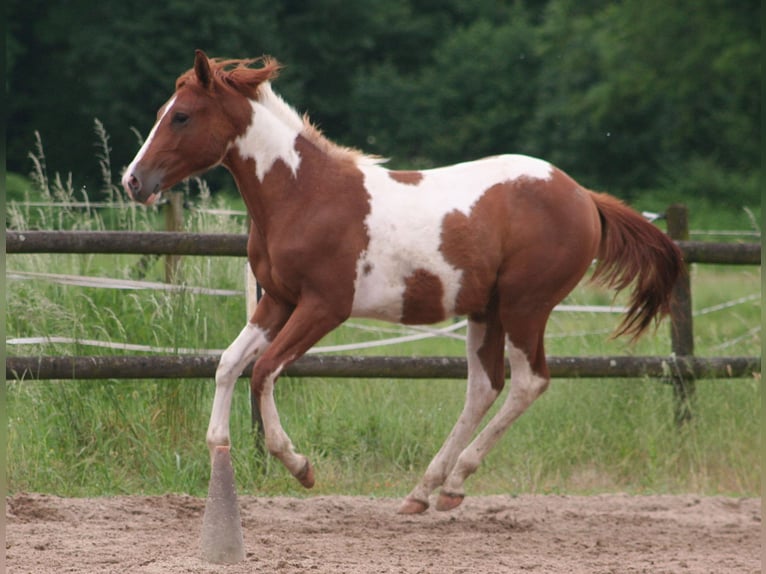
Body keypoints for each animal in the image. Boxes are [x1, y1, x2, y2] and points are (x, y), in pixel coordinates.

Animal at [123, 51, 688, 516]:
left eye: (181, 116)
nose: (133, 181)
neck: (304, 194)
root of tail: (584, 196)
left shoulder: (324, 307)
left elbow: (262, 371)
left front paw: (300, 467)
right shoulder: (277, 301)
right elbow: (227, 364)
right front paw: (218, 446)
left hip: (526, 307)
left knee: (528, 382)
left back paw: (454, 483)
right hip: (486, 311)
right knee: (484, 387)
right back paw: (426, 490)